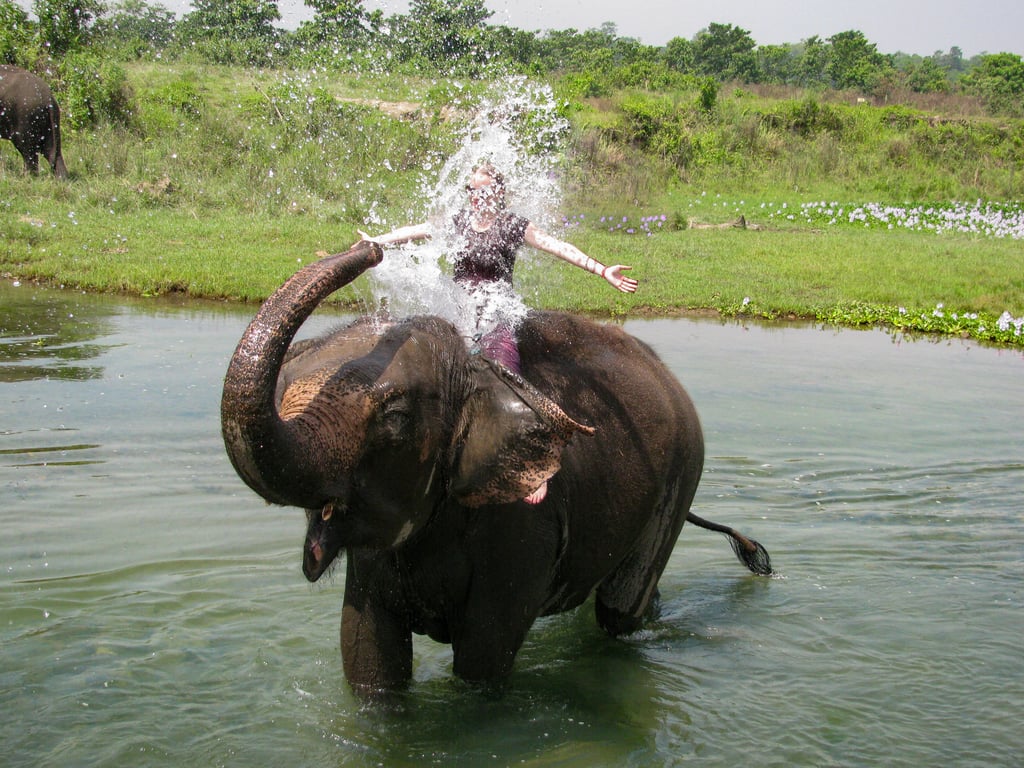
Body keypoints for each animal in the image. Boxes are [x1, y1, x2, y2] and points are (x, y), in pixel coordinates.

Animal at [222, 243, 770, 696]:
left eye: (395, 417)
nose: (370, 248)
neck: (476, 372)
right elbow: (367, 656)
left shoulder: (524, 528)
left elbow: (482, 660)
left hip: (682, 474)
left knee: (617, 613)